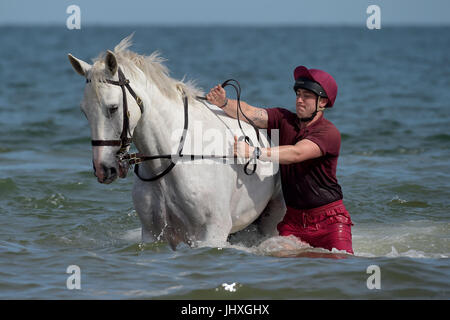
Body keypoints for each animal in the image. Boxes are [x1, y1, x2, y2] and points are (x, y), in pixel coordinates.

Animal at [67, 35, 284, 250]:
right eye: (84, 111)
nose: (103, 169)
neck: (171, 160)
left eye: (113, 107)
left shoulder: (212, 234)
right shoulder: (153, 234)